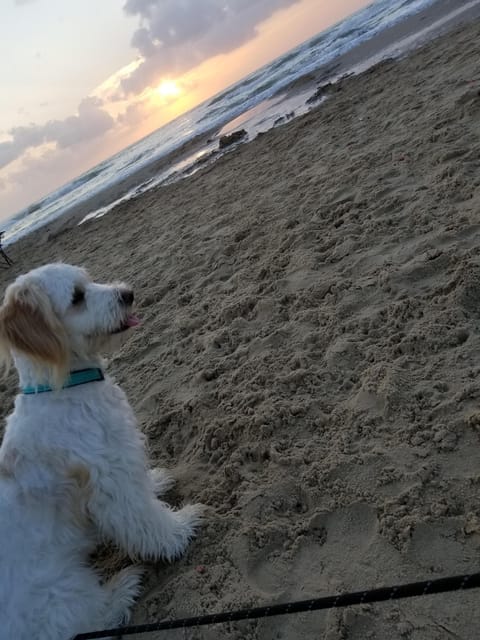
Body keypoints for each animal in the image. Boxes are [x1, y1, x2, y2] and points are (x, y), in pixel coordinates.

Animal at [0, 262, 202, 636]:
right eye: (77, 297)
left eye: (89, 279)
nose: (128, 293)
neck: (63, 390)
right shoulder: (111, 480)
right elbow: (145, 519)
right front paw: (181, 529)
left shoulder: (121, 456)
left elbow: (144, 488)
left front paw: (156, 482)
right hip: (60, 591)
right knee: (91, 620)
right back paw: (122, 589)